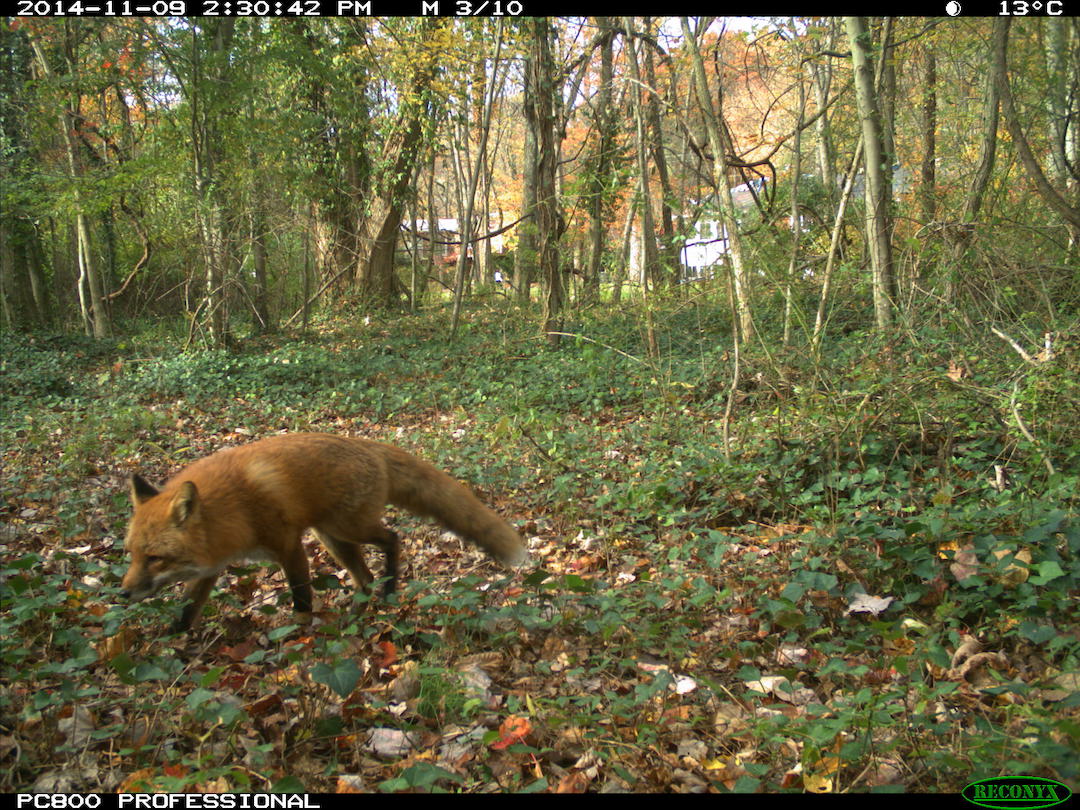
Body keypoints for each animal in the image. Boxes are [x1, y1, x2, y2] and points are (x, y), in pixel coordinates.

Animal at [120, 438, 529, 635]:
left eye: (155, 558)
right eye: (132, 555)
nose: (123, 593)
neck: (234, 509)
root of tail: (370, 446)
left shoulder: (288, 546)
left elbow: (301, 600)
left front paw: (295, 640)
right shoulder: (210, 567)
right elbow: (186, 611)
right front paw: (169, 645)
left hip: (347, 529)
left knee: (393, 538)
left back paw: (391, 588)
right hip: (332, 537)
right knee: (363, 578)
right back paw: (357, 614)